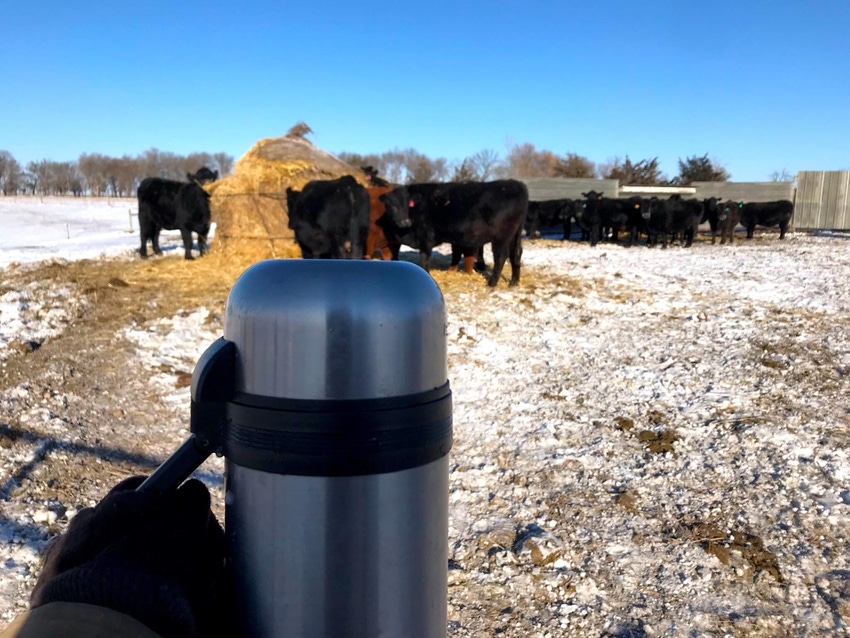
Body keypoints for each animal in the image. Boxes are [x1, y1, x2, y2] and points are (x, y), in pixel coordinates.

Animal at [376, 179, 524, 286]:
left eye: (408, 204)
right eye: (391, 206)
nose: (405, 222)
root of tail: (517, 184)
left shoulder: (425, 237)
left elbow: (424, 258)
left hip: (501, 237)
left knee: (501, 256)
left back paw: (492, 283)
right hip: (514, 236)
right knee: (515, 254)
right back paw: (514, 282)